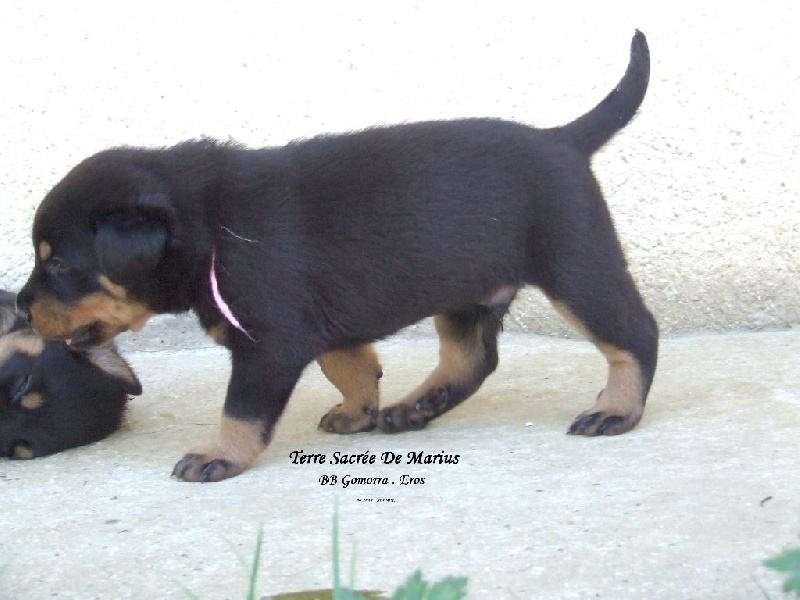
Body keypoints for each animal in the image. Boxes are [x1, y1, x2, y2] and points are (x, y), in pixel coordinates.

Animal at [17, 31, 656, 482]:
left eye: (57, 264)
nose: (20, 308)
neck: (212, 226)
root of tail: (563, 138)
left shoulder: (269, 342)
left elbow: (241, 409)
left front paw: (219, 454)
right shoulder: (319, 321)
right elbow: (350, 363)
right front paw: (359, 410)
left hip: (575, 266)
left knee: (634, 334)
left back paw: (617, 411)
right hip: (466, 290)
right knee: (471, 357)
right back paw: (413, 409)